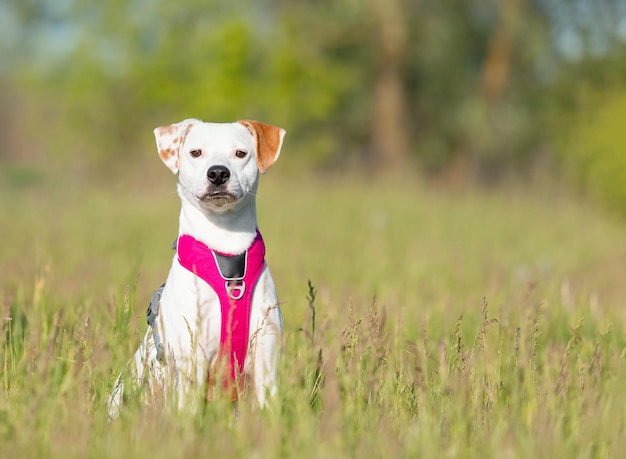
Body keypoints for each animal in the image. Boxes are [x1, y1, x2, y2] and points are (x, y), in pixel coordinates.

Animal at [106, 118, 282, 420]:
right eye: (196, 152)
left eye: (241, 153)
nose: (218, 173)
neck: (227, 257)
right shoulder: (192, 358)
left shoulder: (265, 356)